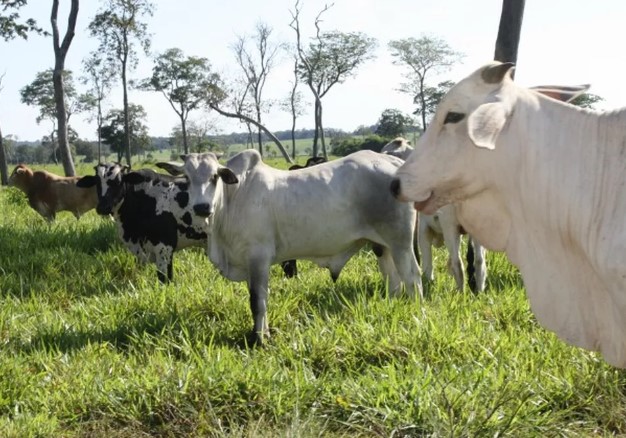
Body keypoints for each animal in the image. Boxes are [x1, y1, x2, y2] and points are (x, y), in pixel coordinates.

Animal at [158, 151, 422, 346]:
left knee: (412, 277)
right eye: (186, 179)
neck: (232, 199)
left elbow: (257, 300)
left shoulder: (258, 257)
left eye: (215, 176)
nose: (202, 207)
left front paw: (259, 340)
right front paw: (262, 332)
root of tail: (393, 162)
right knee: (394, 281)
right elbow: (259, 299)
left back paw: (415, 310)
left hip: (400, 242)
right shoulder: (250, 263)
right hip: (383, 246)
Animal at [380, 138, 488, 294]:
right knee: (479, 260)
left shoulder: (422, 227)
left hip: (449, 226)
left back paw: (461, 293)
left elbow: (425, 257)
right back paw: (479, 291)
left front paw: (428, 280)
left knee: (458, 262)